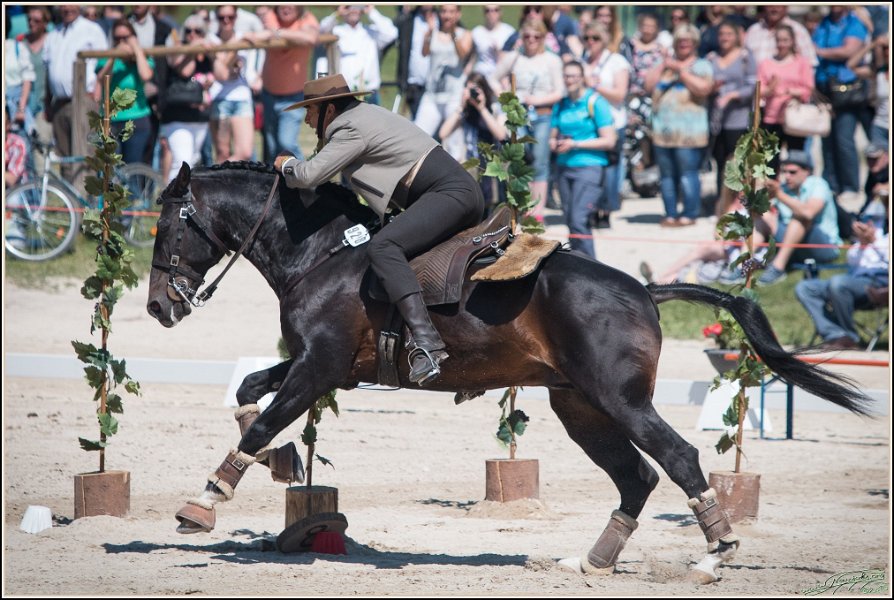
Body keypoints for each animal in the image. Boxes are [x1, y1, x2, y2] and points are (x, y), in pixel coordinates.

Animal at [146, 162, 871, 583]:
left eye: (168, 229)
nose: (157, 307)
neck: (322, 253)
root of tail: (643, 289)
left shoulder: (317, 367)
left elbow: (257, 425)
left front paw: (202, 504)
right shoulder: (321, 369)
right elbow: (249, 396)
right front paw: (282, 463)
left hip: (620, 400)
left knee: (679, 458)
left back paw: (714, 555)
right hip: (580, 406)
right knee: (635, 477)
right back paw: (592, 561)